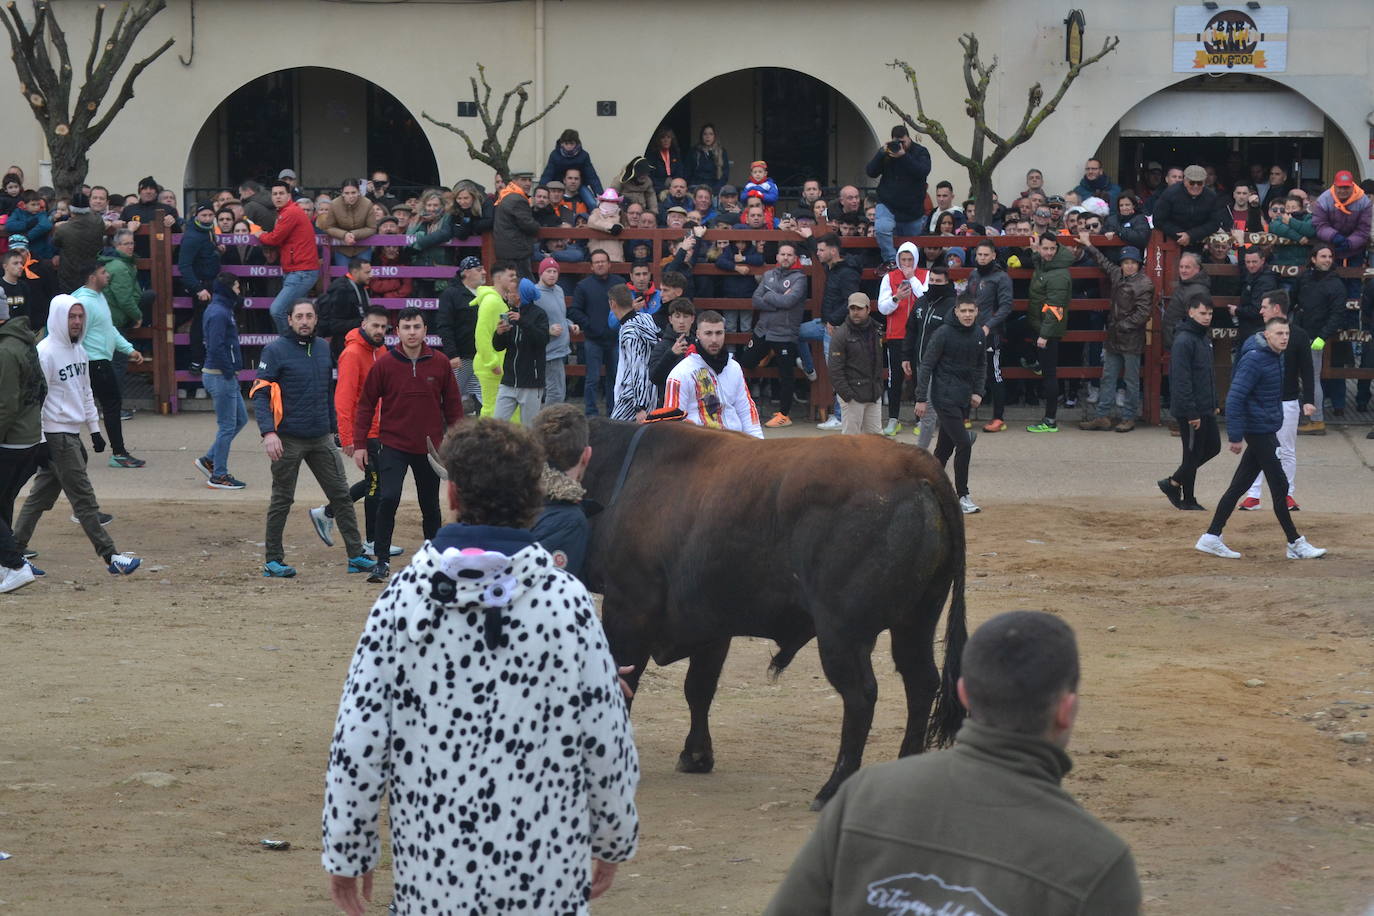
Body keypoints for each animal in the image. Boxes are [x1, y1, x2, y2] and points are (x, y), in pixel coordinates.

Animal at [579, 420, 967, 807]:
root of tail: (915, 463)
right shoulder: (711, 623)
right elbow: (699, 687)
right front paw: (697, 755)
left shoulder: (628, 609)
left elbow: (624, 682)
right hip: (917, 619)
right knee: (921, 682)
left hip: (842, 632)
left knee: (860, 695)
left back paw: (832, 787)